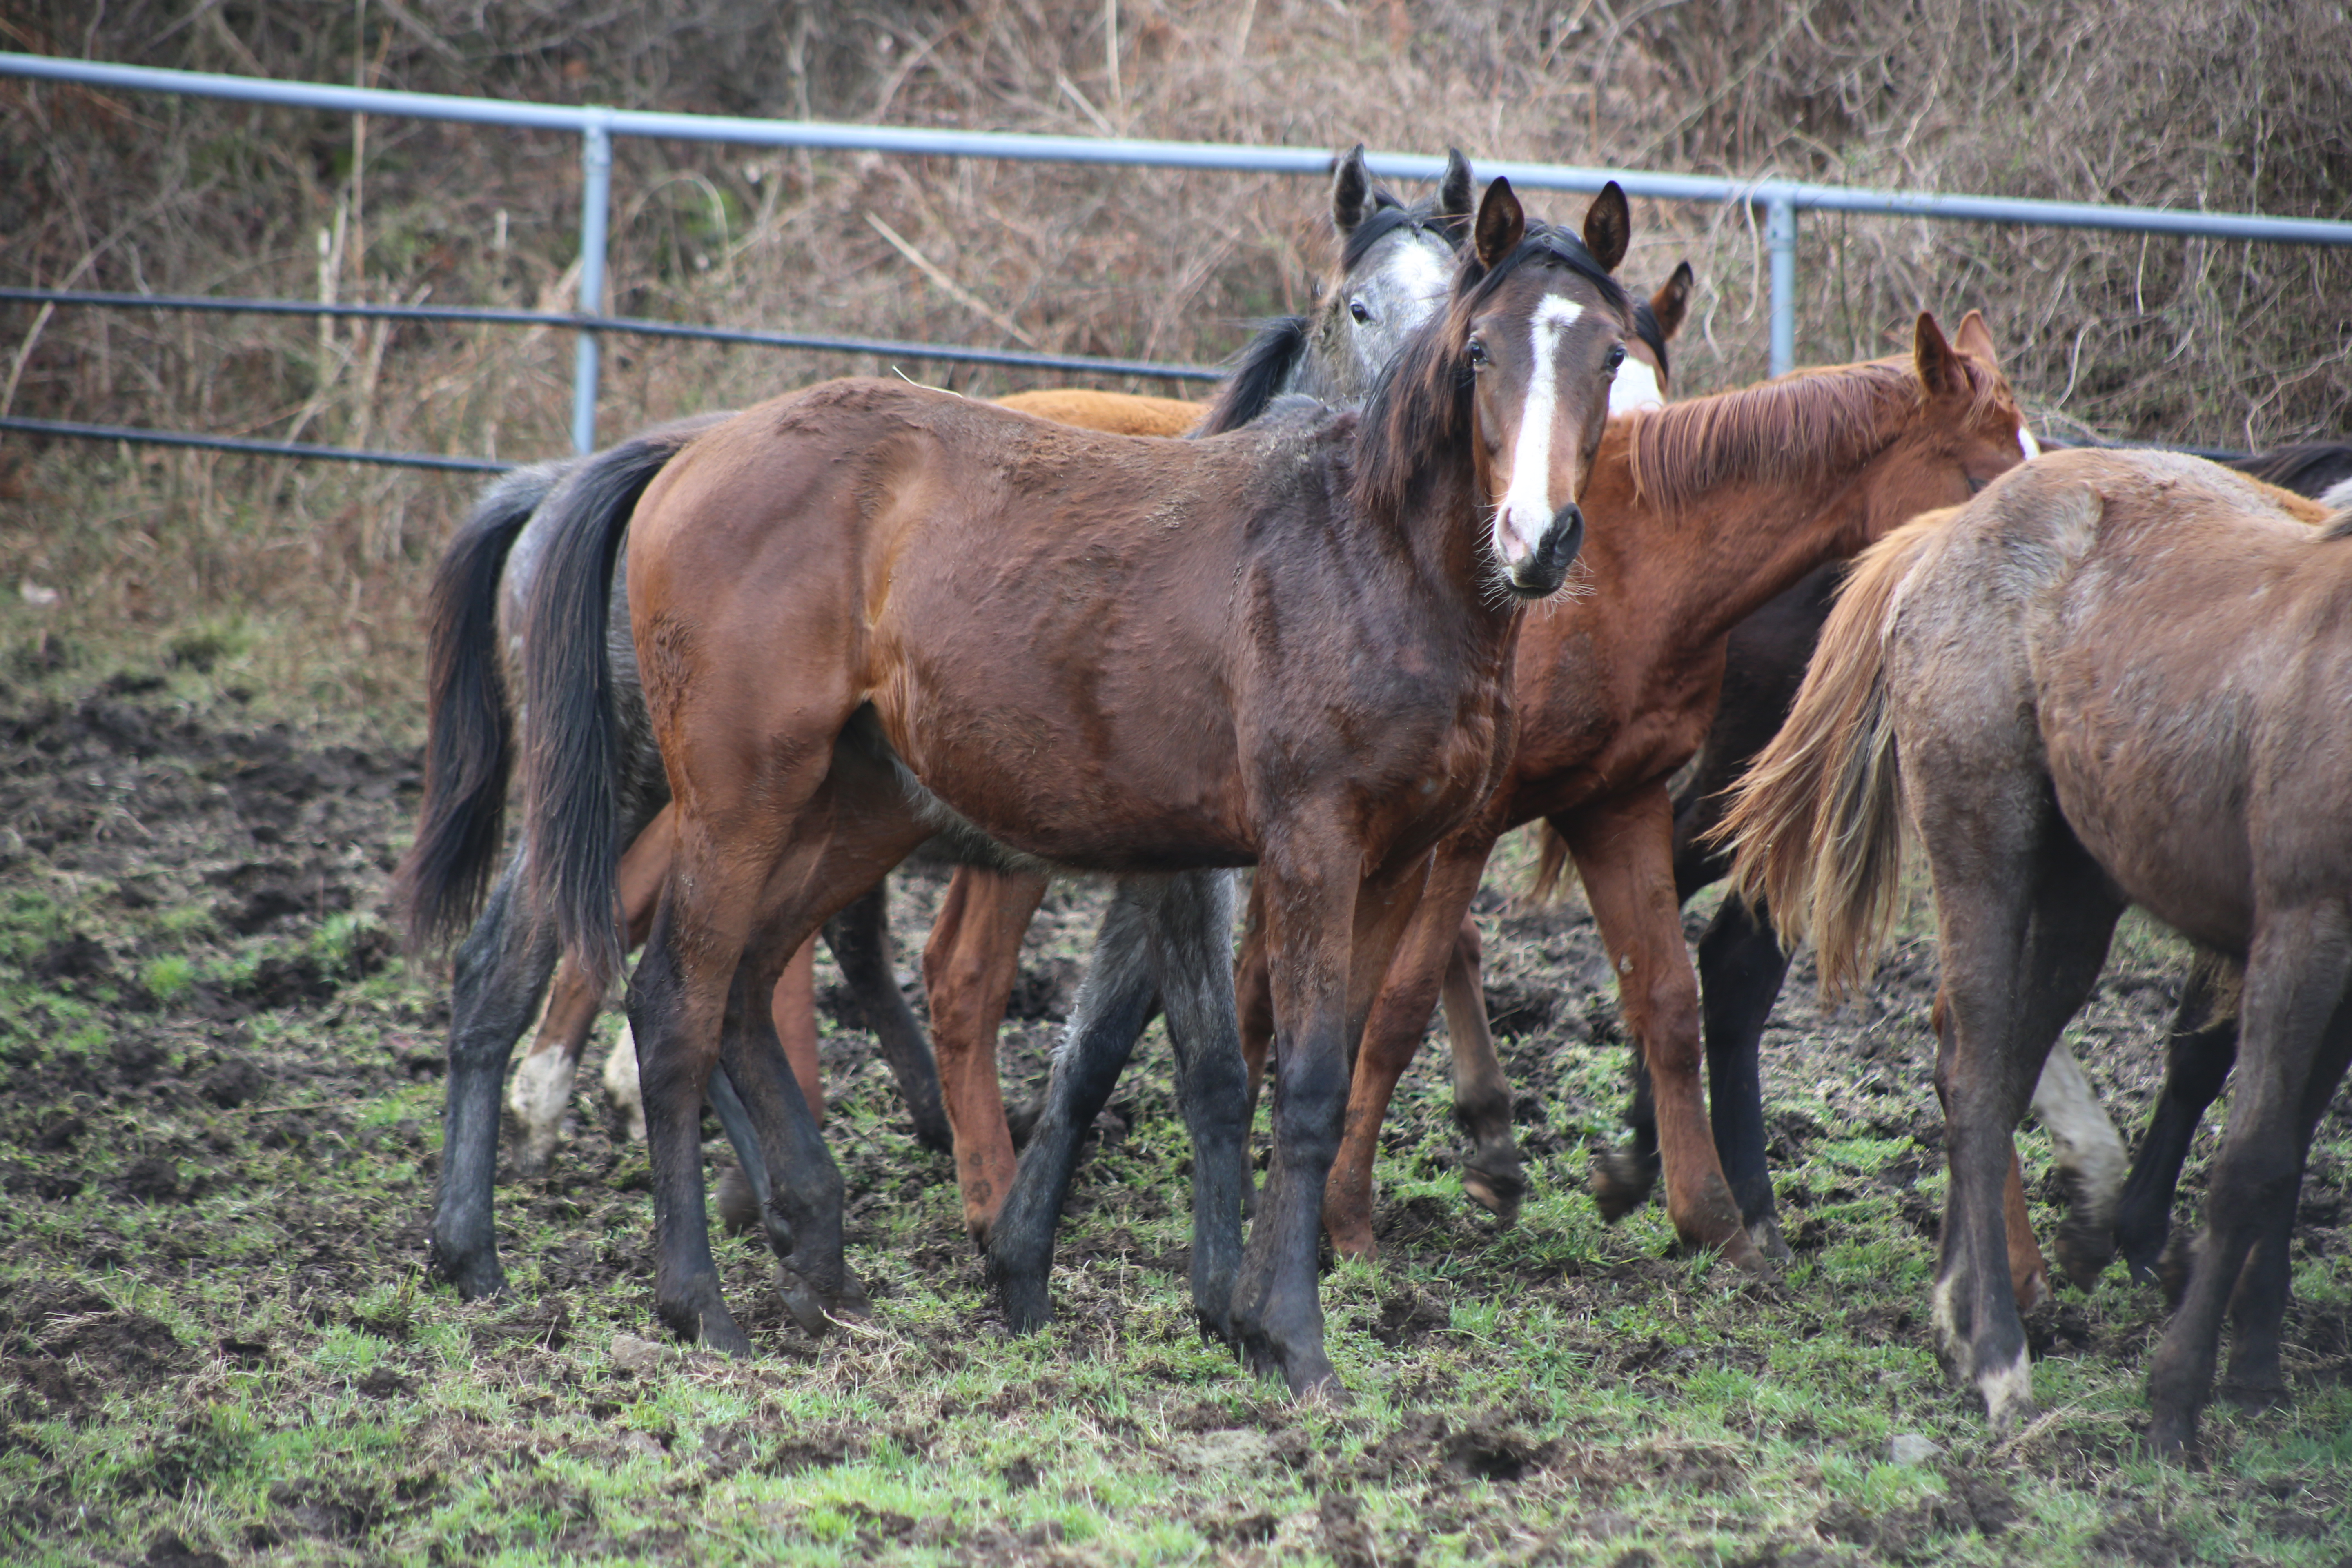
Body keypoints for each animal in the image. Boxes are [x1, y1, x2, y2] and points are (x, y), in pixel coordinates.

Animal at [524, 177, 1646, 1392]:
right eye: (1480, 350)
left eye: (1611, 353)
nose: (1535, 537)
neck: (1366, 555)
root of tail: (687, 455)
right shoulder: (1305, 849)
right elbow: (1287, 1082)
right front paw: (1290, 1338)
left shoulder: (1388, 861)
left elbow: (1320, 1069)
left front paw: (1235, 1311)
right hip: (738, 803)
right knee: (674, 1004)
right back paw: (699, 1302)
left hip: (848, 807)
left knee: (744, 987)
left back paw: (818, 1261)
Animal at [1223, 312, 2032, 1269]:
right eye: (1979, 479)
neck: (1627, 572)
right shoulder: (1465, 828)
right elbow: (1398, 1006)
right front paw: (1347, 1214)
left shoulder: (1618, 802)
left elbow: (1669, 1002)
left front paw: (1714, 1221)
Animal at [1722, 446, 2352, 1457]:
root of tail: (1951, 530)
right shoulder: (2303, 927)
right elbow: (2252, 1160)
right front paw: (2178, 1400)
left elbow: (2284, 1157)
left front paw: (2254, 1370)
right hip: (1984, 848)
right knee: (1977, 1081)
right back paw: (1998, 1358)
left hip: (2080, 892)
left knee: (2002, 1069)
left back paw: (1962, 1315)